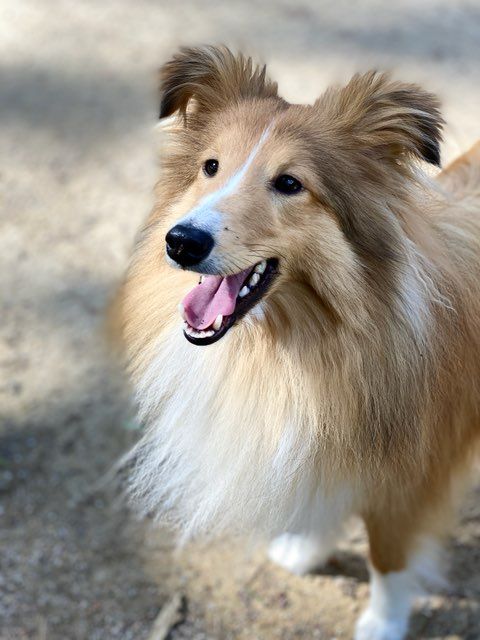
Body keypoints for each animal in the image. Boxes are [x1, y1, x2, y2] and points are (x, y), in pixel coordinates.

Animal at [119, 46, 480, 640]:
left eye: (289, 183)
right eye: (210, 166)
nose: (181, 242)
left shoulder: (414, 474)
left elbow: (388, 555)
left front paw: (382, 623)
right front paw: (307, 549)